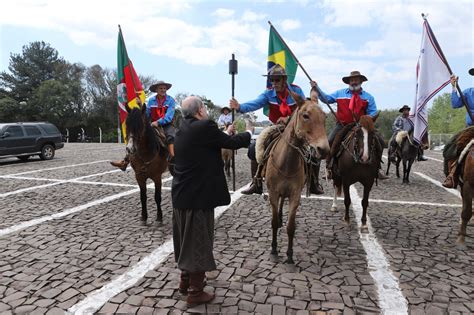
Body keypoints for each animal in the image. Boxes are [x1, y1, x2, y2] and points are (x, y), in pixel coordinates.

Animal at [264, 90, 328, 264]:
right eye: (305, 115)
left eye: (325, 117)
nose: (324, 150)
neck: (286, 163)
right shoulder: (273, 193)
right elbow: (273, 222)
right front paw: (273, 249)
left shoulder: (295, 194)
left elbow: (291, 226)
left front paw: (290, 255)